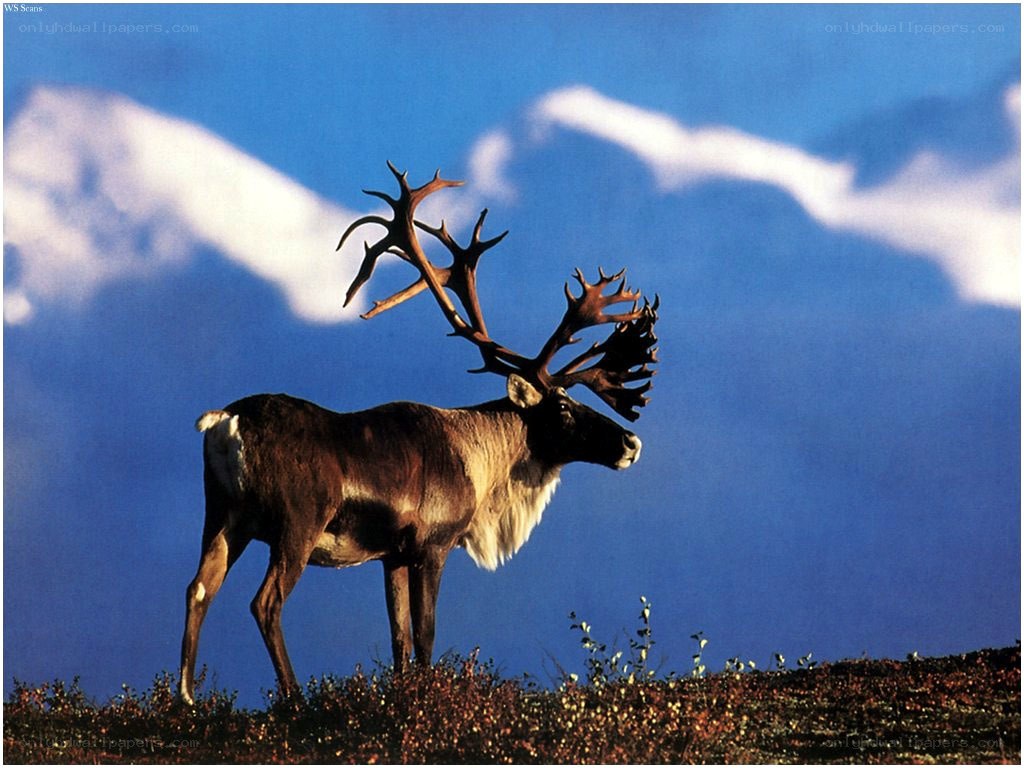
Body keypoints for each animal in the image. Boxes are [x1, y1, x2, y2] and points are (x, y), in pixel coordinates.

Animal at [178, 163, 659, 704]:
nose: (631, 443)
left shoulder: (391, 556)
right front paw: (429, 697)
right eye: (561, 405)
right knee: (265, 602)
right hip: (295, 524)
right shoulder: (433, 545)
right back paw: (294, 698)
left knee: (198, 588)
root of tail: (224, 422)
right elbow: (426, 633)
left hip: (223, 515)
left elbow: (399, 638)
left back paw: (187, 698)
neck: (481, 464)